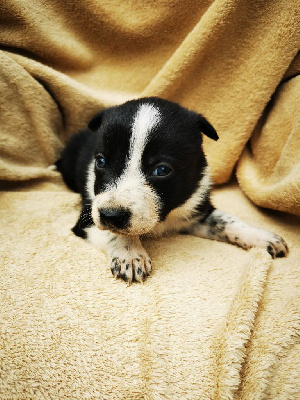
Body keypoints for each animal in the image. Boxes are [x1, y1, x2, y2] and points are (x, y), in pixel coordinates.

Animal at [55, 97, 288, 282]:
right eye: (101, 161)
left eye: (162, 170)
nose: (111, 215)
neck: (164, 217)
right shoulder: (88, 216)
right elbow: (115, 232)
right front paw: (130, 255)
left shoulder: (194, 207)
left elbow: (226, 220)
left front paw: (263, 237)